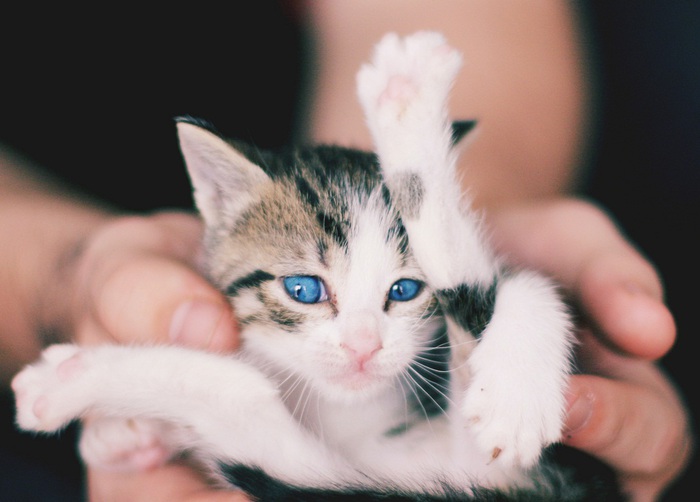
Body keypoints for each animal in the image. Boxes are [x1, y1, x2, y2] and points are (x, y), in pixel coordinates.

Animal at [13, 32, 620, 502]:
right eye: (304, 289)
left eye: (405, 289)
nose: (362, 347)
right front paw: (122, 436)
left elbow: (517, 283)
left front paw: (518, 392)